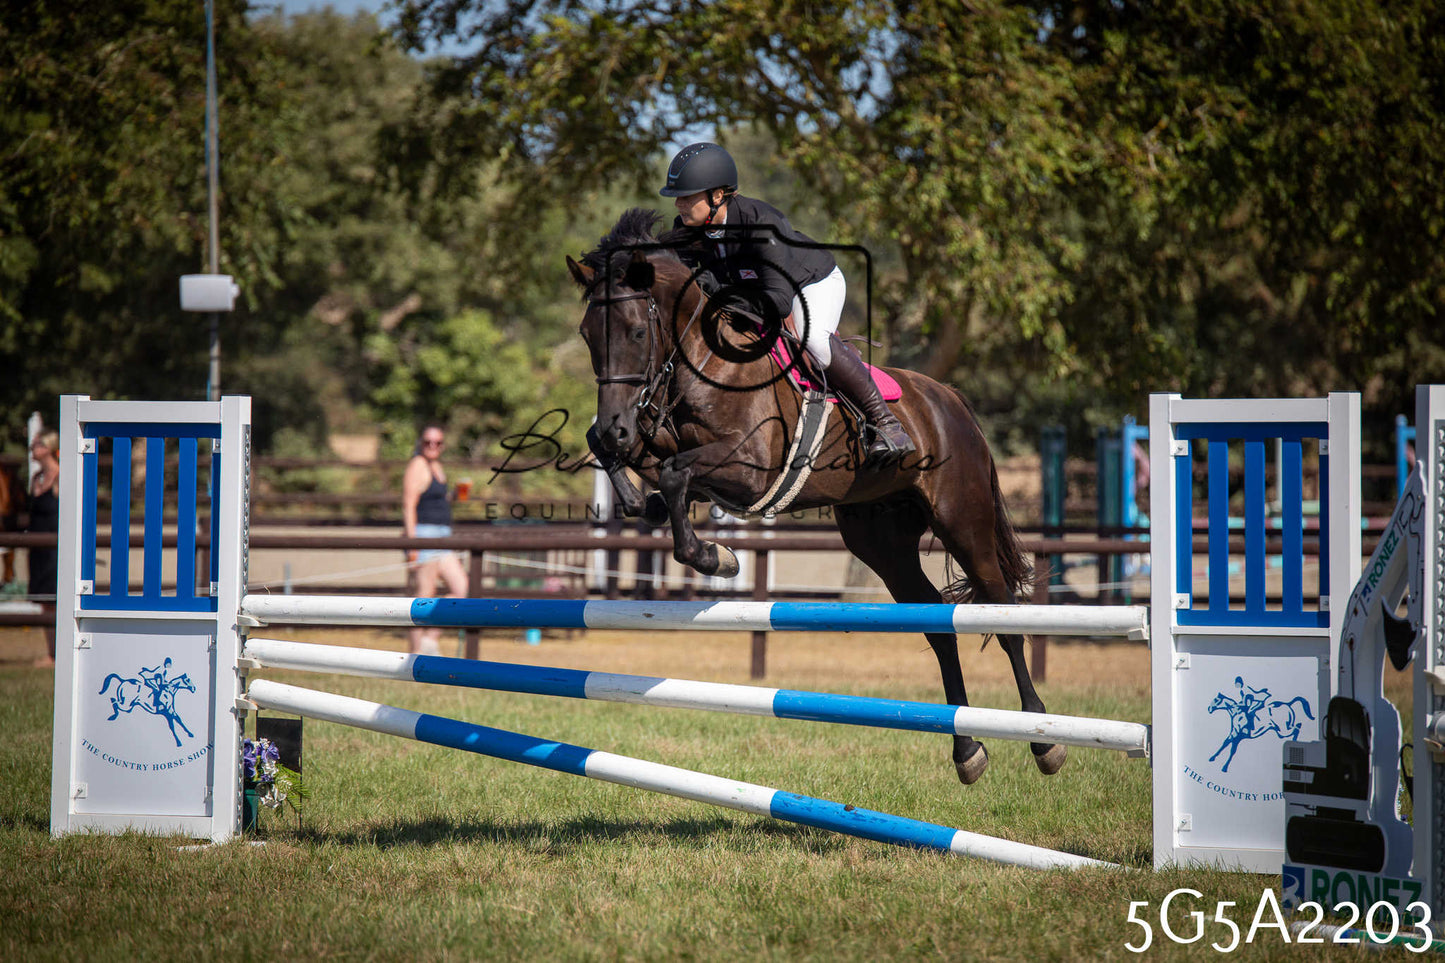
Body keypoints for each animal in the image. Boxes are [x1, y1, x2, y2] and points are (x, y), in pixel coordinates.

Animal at [564, 208, 1062, 786]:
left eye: (638, 330)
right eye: (587, 335)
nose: (618, 424)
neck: (703, 362)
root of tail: (951, 400)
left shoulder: (748, 468)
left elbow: (671, 473)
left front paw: (715, 557)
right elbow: (617, 453)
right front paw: (643, 501)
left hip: (964, 521)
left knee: (1004, 617)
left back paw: (1043, 739)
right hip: (882, 541)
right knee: (938, 625)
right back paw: (967, 750)